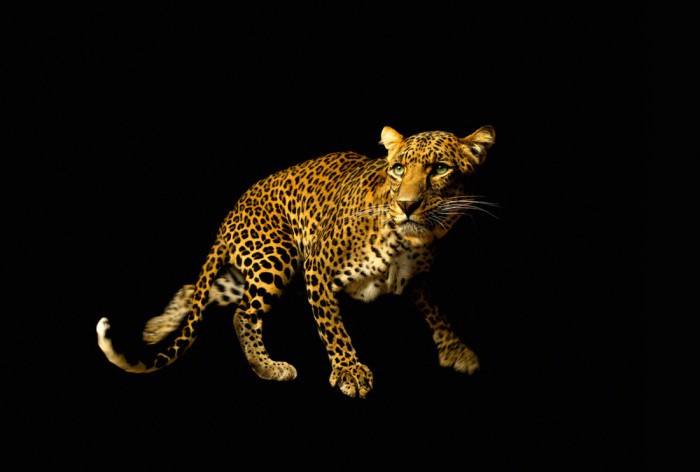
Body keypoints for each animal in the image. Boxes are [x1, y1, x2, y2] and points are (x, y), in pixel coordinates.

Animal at [96, 125, 496, 398]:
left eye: (440, 168)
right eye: (398, 169)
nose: (407, 205)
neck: (406, 241)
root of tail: (229, 215)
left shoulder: (415, 281)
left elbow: (435, 310)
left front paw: (456, 349)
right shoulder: (317, 266)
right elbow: (333, 327)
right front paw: (350, 372)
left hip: (250, 269)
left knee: (196, 290)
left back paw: (157, 328)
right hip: (277, 256)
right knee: (242, 314)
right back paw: (269, 368)